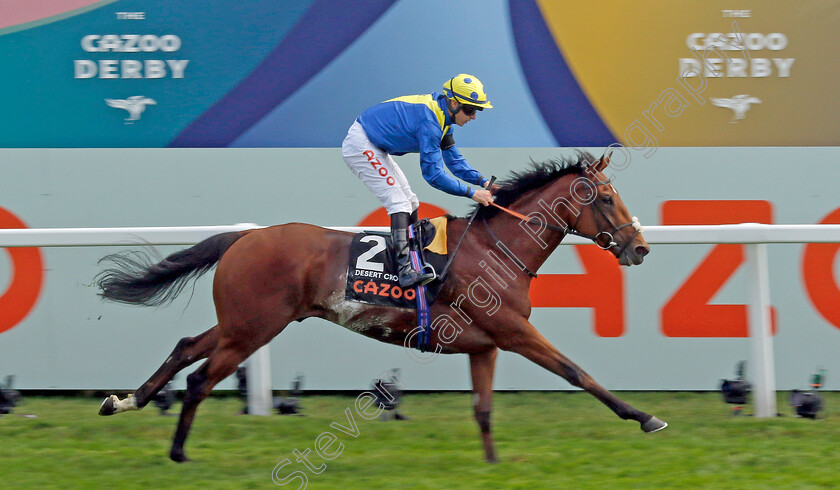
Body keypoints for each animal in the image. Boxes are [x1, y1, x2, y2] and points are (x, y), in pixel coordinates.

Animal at [95, 150, 668, 464]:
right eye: (606, 198)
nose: (640, 247)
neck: (498, 247)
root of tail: (244, 237)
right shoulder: (512, 331)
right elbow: (577, 372)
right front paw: (644, 417)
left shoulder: (483, 346)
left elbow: (483, 410)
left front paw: (492, 465)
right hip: (254, 328)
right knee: (198, 378)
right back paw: (178, 451)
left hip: (242, 322)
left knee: (185, 347)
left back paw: (123, 402)